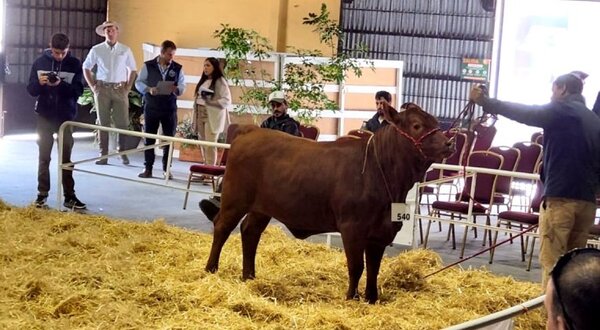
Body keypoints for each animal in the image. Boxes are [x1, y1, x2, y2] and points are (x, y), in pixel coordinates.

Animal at [204, 102, 452, 302]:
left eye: (435, 121)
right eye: (417, 125)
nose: (449, 143)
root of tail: (251, 131)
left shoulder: (380, 232)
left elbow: (374, 268)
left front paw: (372, 299)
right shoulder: (352, 227)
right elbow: (357, 266)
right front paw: (352, 298)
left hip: (262, 208)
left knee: (250, 232)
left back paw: (249, 276)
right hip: (234, 200)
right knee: (222, 227)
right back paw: (211, 269)